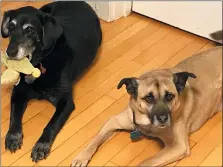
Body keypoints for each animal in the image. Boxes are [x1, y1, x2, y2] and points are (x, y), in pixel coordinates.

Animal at [0, 1, 101, 162]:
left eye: (30, 29)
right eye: (10, 27)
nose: (10, 52)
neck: (39, 62)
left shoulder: (65, 102)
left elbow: (51, 124)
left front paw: (41, 145)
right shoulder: (18, 94)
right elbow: (14, 116)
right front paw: (13, 137)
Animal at [71, 35, 221, 167]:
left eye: (169, 96)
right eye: (148, 98)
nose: (163, 118)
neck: (147, 125)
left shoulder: (178, 146)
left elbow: (146, 162)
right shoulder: (112, 122)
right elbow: (94, 140)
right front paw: (81, 157)